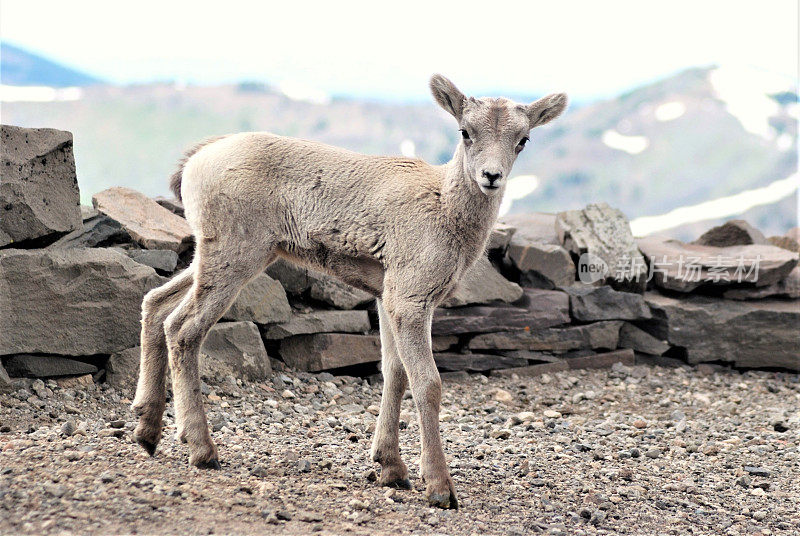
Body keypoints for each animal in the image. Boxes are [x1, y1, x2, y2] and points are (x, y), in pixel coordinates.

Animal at [131, 74, 564, 506]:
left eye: (523, 139)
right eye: (465, 131)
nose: (491, 176)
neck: (446, 213)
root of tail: (195, 161)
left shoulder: (387, 298)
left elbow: (394, 373)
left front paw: (392, 470)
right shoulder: (410, 299)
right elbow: (427, 383)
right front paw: (439, 488)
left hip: (224, 256)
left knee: (155, 304)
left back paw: (147, 432)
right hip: (234, 257)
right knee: (183, 330)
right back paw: (202, 450)